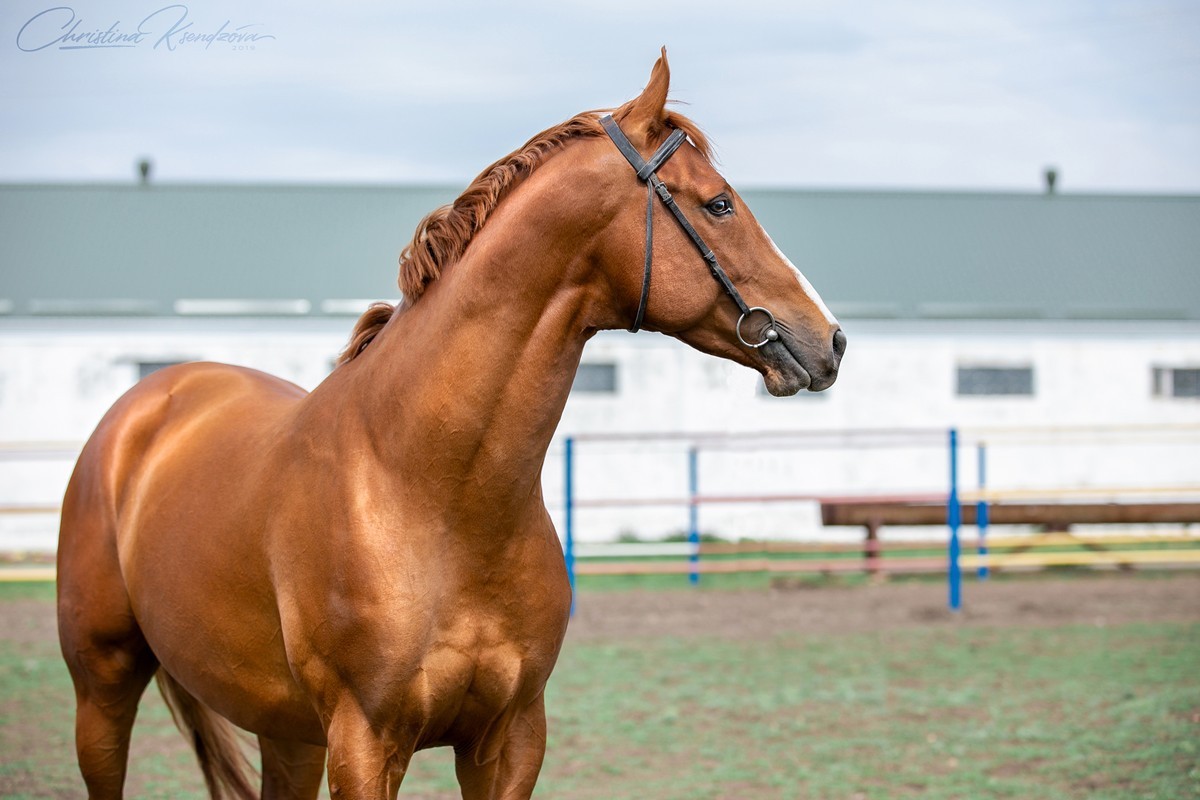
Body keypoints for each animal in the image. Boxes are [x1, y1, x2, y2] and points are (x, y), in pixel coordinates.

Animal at [58, 53, 844, 796]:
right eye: (718, 204)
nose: (828, 340)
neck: (428, 492)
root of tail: (152, 399)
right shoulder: (365, 744)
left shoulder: (510, 737)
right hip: (104, 691)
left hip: (285, 730)